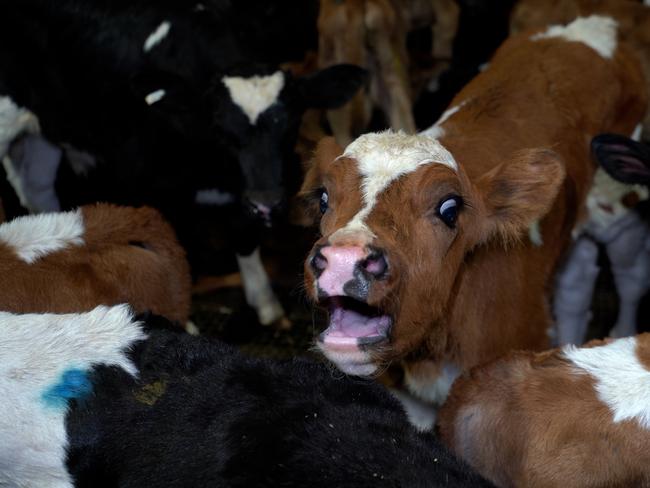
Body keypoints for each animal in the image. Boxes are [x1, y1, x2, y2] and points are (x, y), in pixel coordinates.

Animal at [302, 16, 644, 424]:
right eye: (324, 199)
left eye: (449, 209)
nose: (343, 258)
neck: (436, 353)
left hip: (618, 206)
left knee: (629, 276)